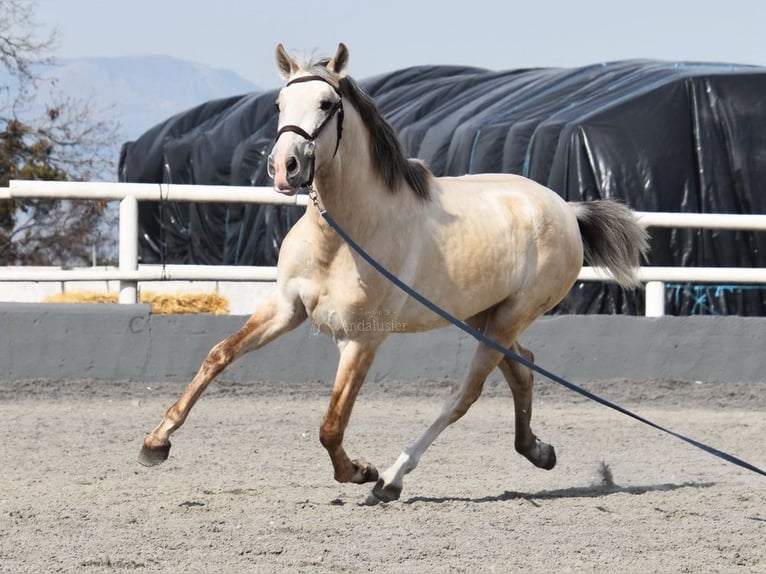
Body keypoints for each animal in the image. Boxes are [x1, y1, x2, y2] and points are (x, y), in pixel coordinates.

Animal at [138, 42, 648, 506]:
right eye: (280, 105)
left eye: (327, 104)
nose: (284, 168)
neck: (345, 236)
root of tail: (567, 210)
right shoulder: (286, 307)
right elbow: (219, 355)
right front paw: (155, 443)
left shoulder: (362, 339)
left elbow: (330, 426)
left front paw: (360, 471)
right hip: (486, 317)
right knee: (523, 369)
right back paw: (538, 452)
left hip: (506, 320)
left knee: (464, 395)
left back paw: (391, 479)